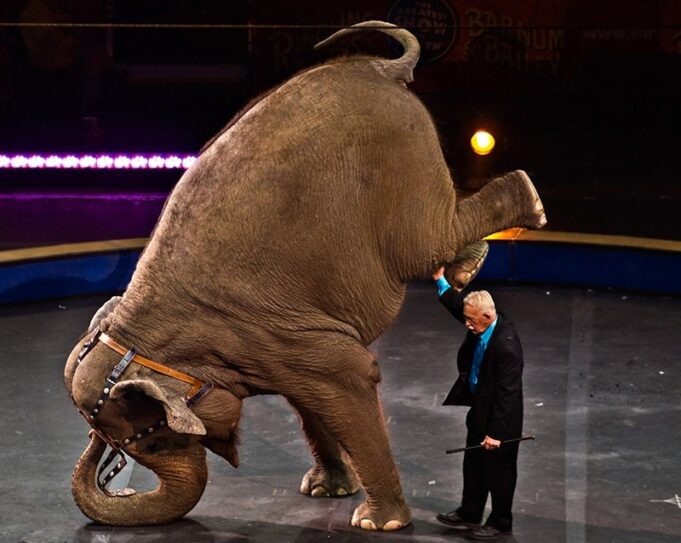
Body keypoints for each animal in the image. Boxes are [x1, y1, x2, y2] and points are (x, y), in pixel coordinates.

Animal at [64, 21, 546, 531]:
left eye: (154, 439)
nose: (110, 472)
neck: (146, 330)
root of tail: (379, 68)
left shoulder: (272, 333)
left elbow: (350, 375)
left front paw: (377, 523)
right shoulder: (281, 344)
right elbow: (310, 397)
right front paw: (326, 489)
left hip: (402, 164)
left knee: (427, 242)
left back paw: (529, 205)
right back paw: (466, 268)